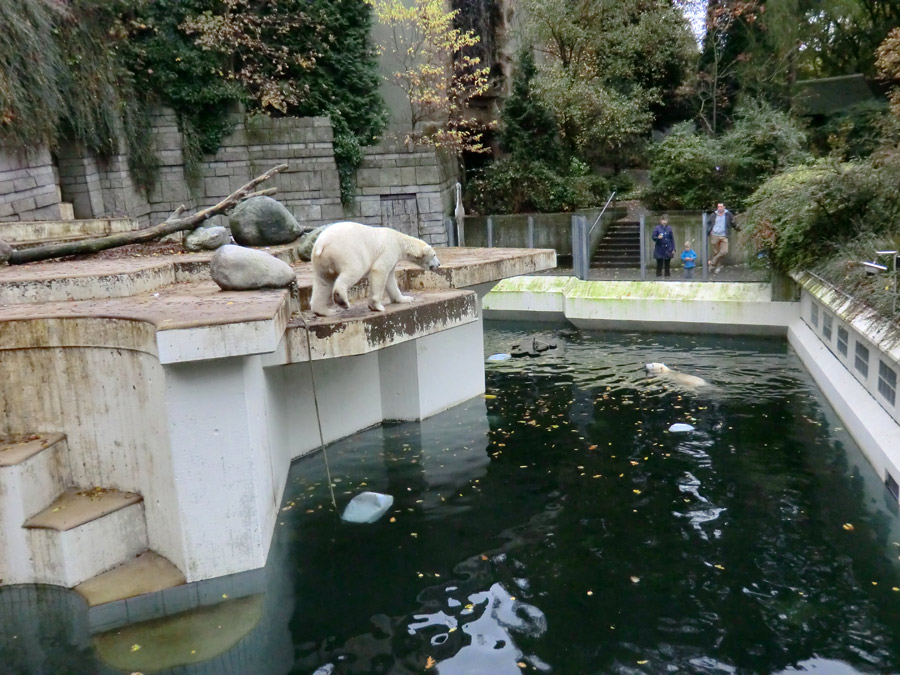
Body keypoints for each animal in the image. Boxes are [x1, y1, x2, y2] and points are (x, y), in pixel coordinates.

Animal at [312, 222, 442, 316]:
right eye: (434, 254)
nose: (439, 264)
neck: (399, 240)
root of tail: (322, 243)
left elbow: (390, 280)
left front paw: (406, 298)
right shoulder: (389, 249)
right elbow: (379, 270)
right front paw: (376, 306)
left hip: (321, 261)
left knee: (323, 282)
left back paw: (325, 311)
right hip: (347, 251)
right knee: (354, 270)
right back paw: (341, 300)